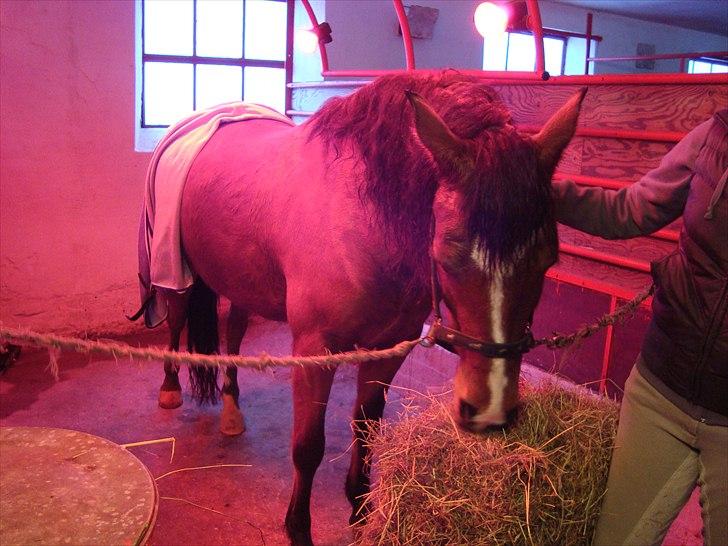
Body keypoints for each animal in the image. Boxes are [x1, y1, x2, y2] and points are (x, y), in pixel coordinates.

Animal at [145, 71, 585, 546]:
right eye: (448, 257)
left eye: (548, 259)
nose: (490, 412)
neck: (365, 219)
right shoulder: (315, 353)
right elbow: (308, 447)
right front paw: (298, 529)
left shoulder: (389, 347)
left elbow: (366, 427)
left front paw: (360, 510)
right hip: (175, 275)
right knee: (175, 323)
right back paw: (170, 389)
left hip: (240, 282)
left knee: (234, 335)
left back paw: (231, 409)